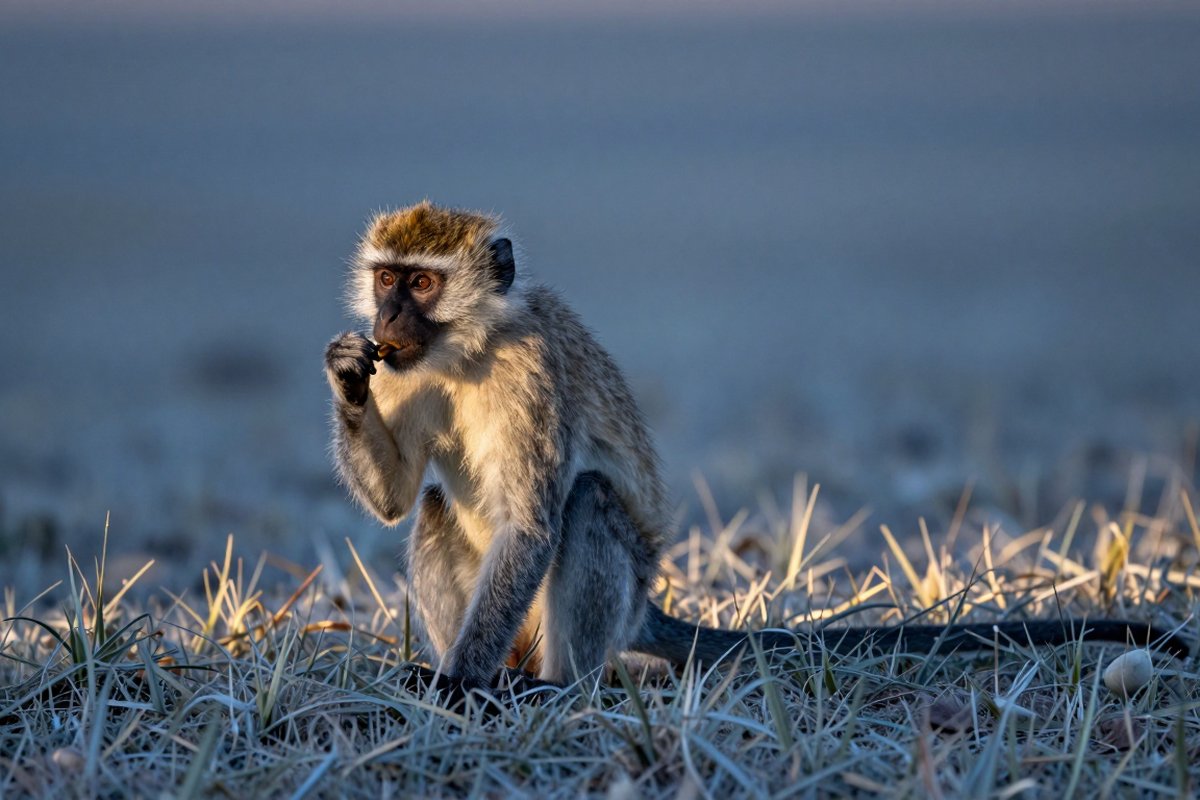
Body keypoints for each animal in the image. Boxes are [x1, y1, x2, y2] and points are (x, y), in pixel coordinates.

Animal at [324, 201, 1190, 693]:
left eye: (424, 284)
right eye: (388, 280)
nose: (389, 320)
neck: (467, 351)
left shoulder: (529, 371)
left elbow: (534, 525)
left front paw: (457, 687)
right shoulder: (406, 370)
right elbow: (398, 500)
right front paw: (346, 376)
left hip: (609, 602)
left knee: (587, 503)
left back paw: (553, 689)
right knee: (437, 506)